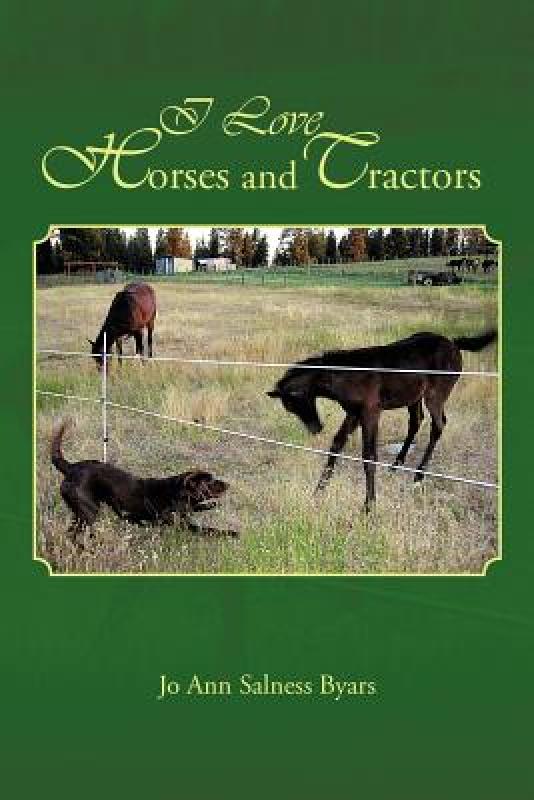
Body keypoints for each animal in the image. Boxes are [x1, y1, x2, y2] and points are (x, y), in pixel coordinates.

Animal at [267, 330, 496, 511]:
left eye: (299, 399)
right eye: (290, 408)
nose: (316, 428)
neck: (349, 375)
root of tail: (453, 343)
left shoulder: (371, 412)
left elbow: (369, 456)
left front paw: (369, 505)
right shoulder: (353, 413)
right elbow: (337, 444)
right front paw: (319, 491)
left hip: (435, 395)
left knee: (438, 426)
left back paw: (418, 476)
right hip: (413, 396)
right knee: (416, 421)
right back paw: (396, 464)